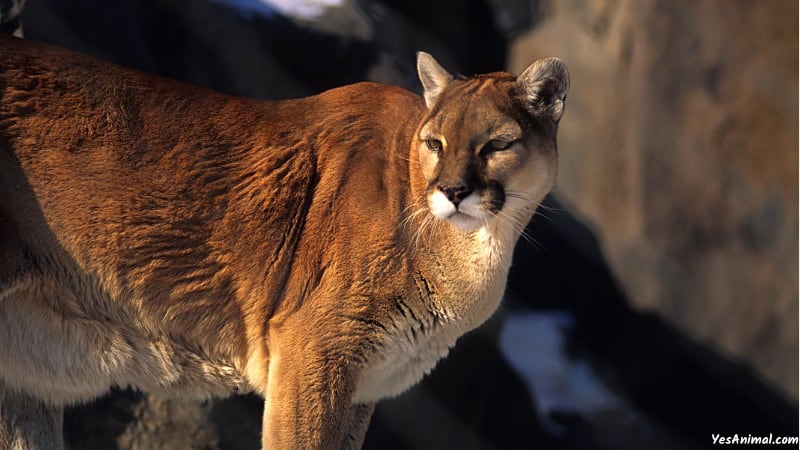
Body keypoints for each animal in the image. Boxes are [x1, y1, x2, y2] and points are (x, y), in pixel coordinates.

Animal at [1, 36, 568, 450]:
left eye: (495, 145)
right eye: (436, 143)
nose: (451, 191)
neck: (475, 250)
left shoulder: (362, 386)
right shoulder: (312, 352)